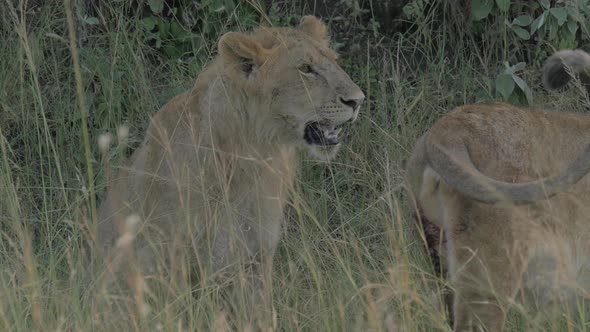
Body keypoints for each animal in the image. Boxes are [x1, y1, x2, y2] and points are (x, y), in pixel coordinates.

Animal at [95, 16, 366, 284]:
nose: (358, 100)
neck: (255, 152)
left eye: (335, 62)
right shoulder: (170, 252)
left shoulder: (258, 253)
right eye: (306, 69)